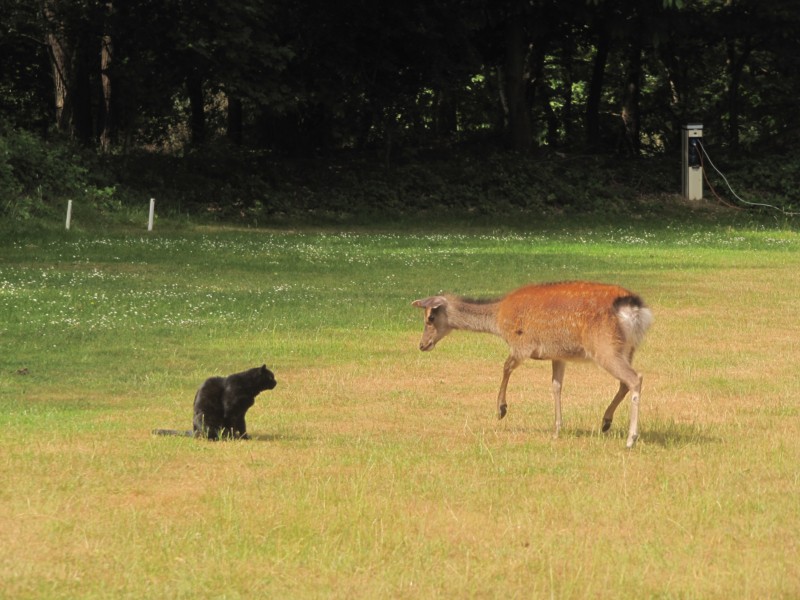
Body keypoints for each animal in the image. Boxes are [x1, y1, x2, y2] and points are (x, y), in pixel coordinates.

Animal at [416, 282, 652, 446]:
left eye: (430, 318)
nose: (422, 344)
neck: (499, 320)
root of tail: (636, 310)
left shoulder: (522, 344)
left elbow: (505, 367)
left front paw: (501, 409)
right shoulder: (558, 354)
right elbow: (556, 386)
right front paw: (557, 429)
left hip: (605, 347)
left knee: (635, 378)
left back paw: (631, 438)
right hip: (627, 349)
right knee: (624, 383)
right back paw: (605, 422)